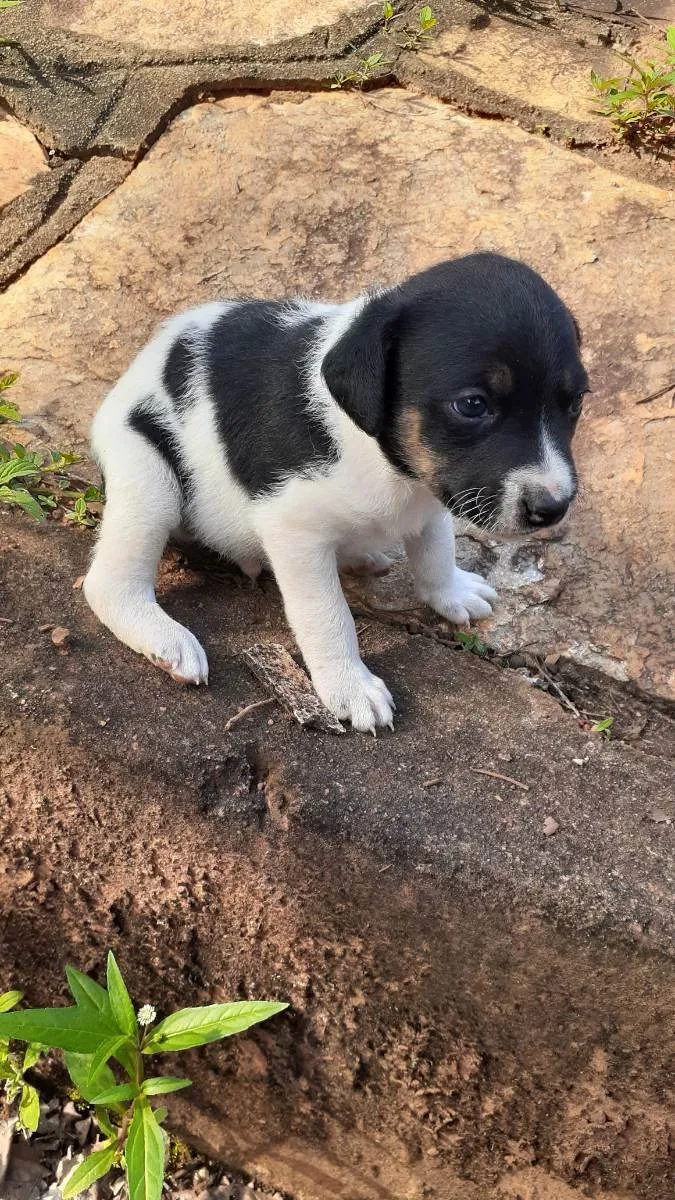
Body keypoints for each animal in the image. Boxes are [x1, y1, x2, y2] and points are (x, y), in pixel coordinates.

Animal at [84, 253, 586, 729]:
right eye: (473, 405)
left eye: (576, 402)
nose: (553, 508)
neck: (382, 458)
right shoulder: (295, 531)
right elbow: (327, 615)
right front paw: (350, 685)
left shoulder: (433, 496)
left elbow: (436, 550)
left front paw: (451, 591)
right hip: (148, 479)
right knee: (109, 583)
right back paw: (165, 637)